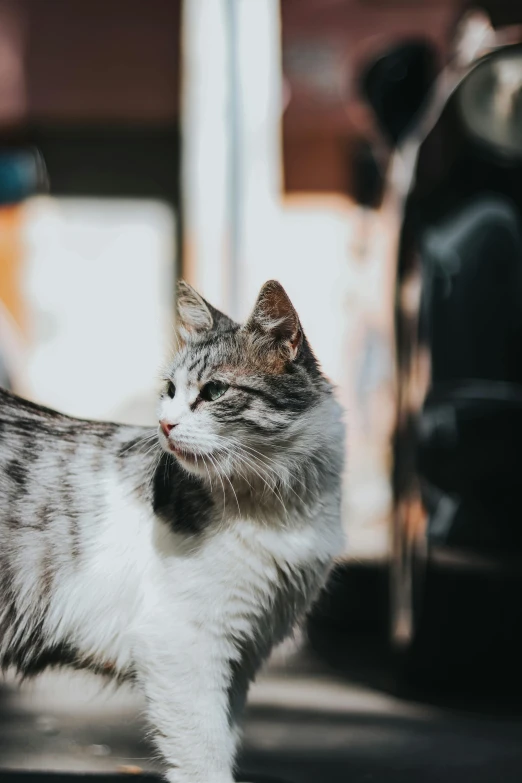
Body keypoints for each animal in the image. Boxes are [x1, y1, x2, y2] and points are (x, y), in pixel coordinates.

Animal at [0, 282, 342, 783]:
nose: (165, 424)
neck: (279, 502)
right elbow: (204, 758)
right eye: (170, 390)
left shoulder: (242, 655)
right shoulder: (183, 643)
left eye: (214, 390)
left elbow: (221, 742)